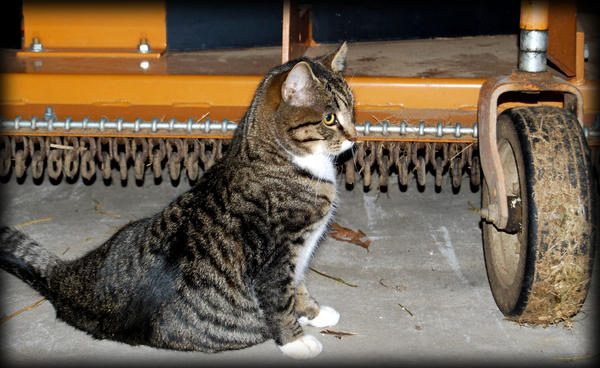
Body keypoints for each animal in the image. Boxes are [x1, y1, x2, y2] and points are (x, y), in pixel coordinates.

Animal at [1, 41, 356, 360]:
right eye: (329, 118)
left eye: (352, 108)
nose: (355, 136)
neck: (283, 158)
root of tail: (67, 283)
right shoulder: (279, 257)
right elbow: (282, 298)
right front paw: (296, 341)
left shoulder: (297, 256)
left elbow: (299, 286)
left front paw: (314, 313)